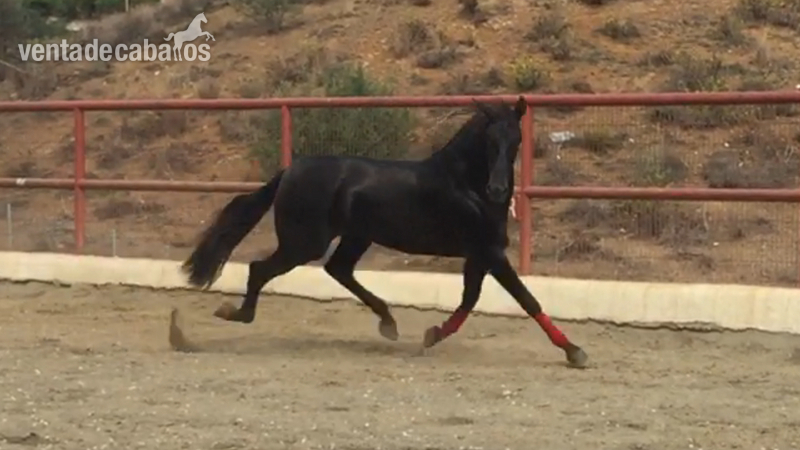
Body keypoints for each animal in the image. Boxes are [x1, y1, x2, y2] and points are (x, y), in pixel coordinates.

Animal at [181, 96, 588, 368]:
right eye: (489, 141)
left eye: (516, 140)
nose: (499, 190)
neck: (466, 185)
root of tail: (290, 171)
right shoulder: (489, 251)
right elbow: (526, 299)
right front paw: (575, 352)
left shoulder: (477, 254)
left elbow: (469, 300)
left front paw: (432, 334)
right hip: (304, 242)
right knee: (261, 269)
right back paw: (234, 314)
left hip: (354, 237)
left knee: (338, 270)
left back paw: (388, 322)